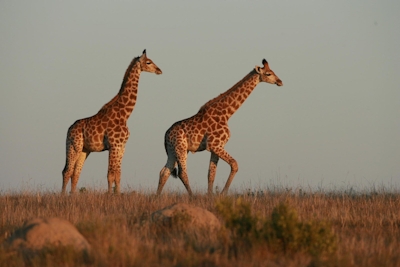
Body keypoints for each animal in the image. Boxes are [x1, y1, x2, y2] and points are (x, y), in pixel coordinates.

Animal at [61, 49, 162, 195]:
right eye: (148, 62)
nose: (160, 70)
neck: (125, 114)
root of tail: (69, 130)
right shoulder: (114, 145)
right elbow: (110, 174)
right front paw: (110, 195)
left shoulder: (122, 146)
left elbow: (117, 174)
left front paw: (118, 194)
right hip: (74, 146)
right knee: (67, 171)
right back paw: (63, 195)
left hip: (84, 150)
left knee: (76, 173)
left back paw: (73, 195)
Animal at [158, 59, 282, 197]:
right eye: (268, 74)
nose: (280, 82)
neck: (226, 114)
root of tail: (166, 135)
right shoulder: (215, 145)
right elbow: (234, 164)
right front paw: (223, 193)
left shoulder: (216, 147)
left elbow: (211, 174)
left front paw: (210, 195)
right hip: (181, 148)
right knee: (182, 173)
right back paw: (192, 196)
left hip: (173, 150)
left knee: (165, 171)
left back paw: (157, 196)